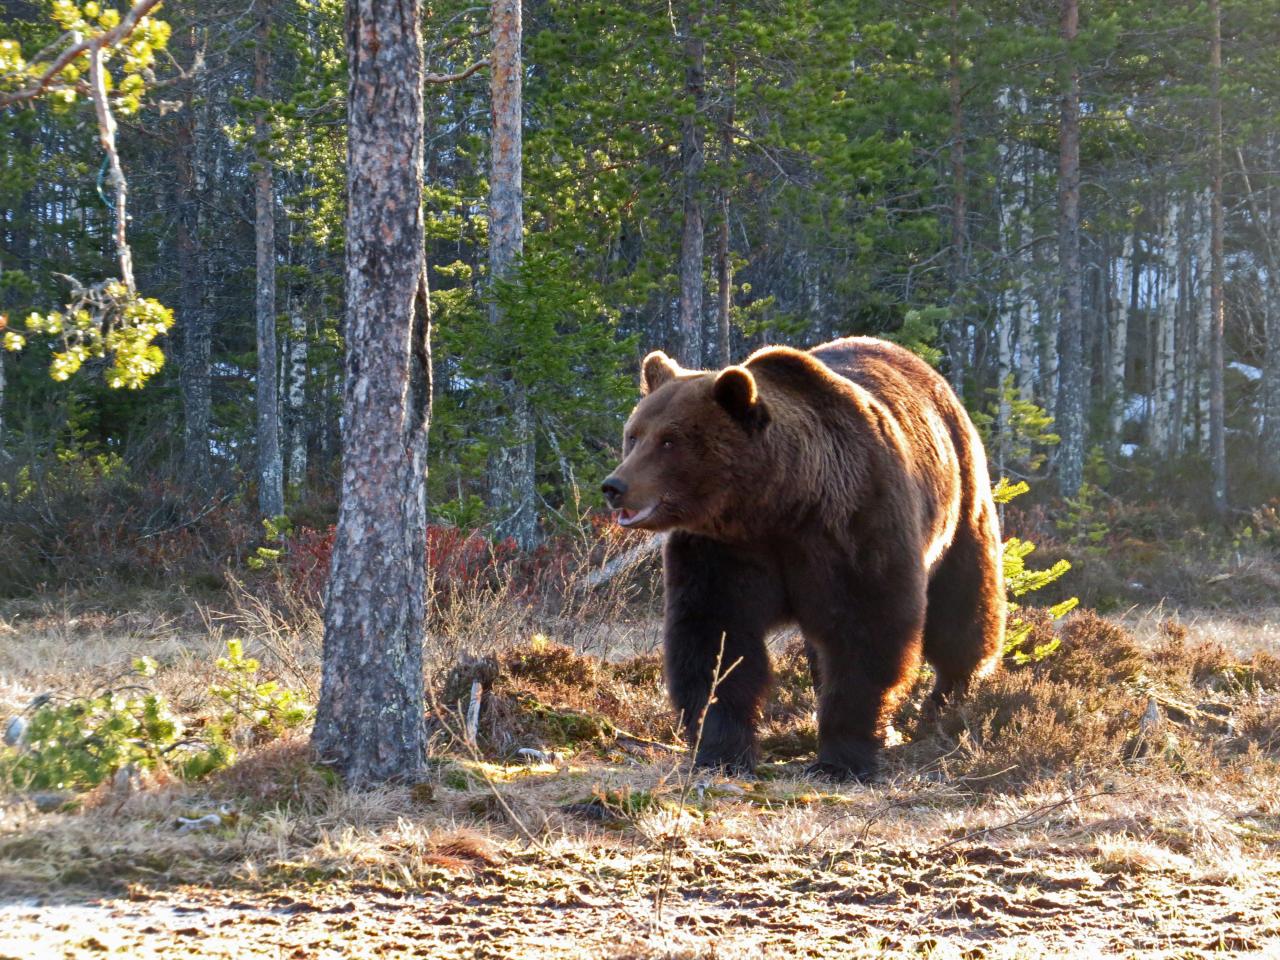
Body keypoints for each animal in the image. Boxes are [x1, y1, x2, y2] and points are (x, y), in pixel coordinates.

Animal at [604, 337, 1003, 783]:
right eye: (634, 435)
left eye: (669, 440)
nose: (615, 486)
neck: (778, 502)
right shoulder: (723, 550)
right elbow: (715, 639)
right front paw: (723, 749)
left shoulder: (853, 528)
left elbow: (867, 633)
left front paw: (842, 757)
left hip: (960, 503)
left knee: (963, 608)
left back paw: (945, 704)